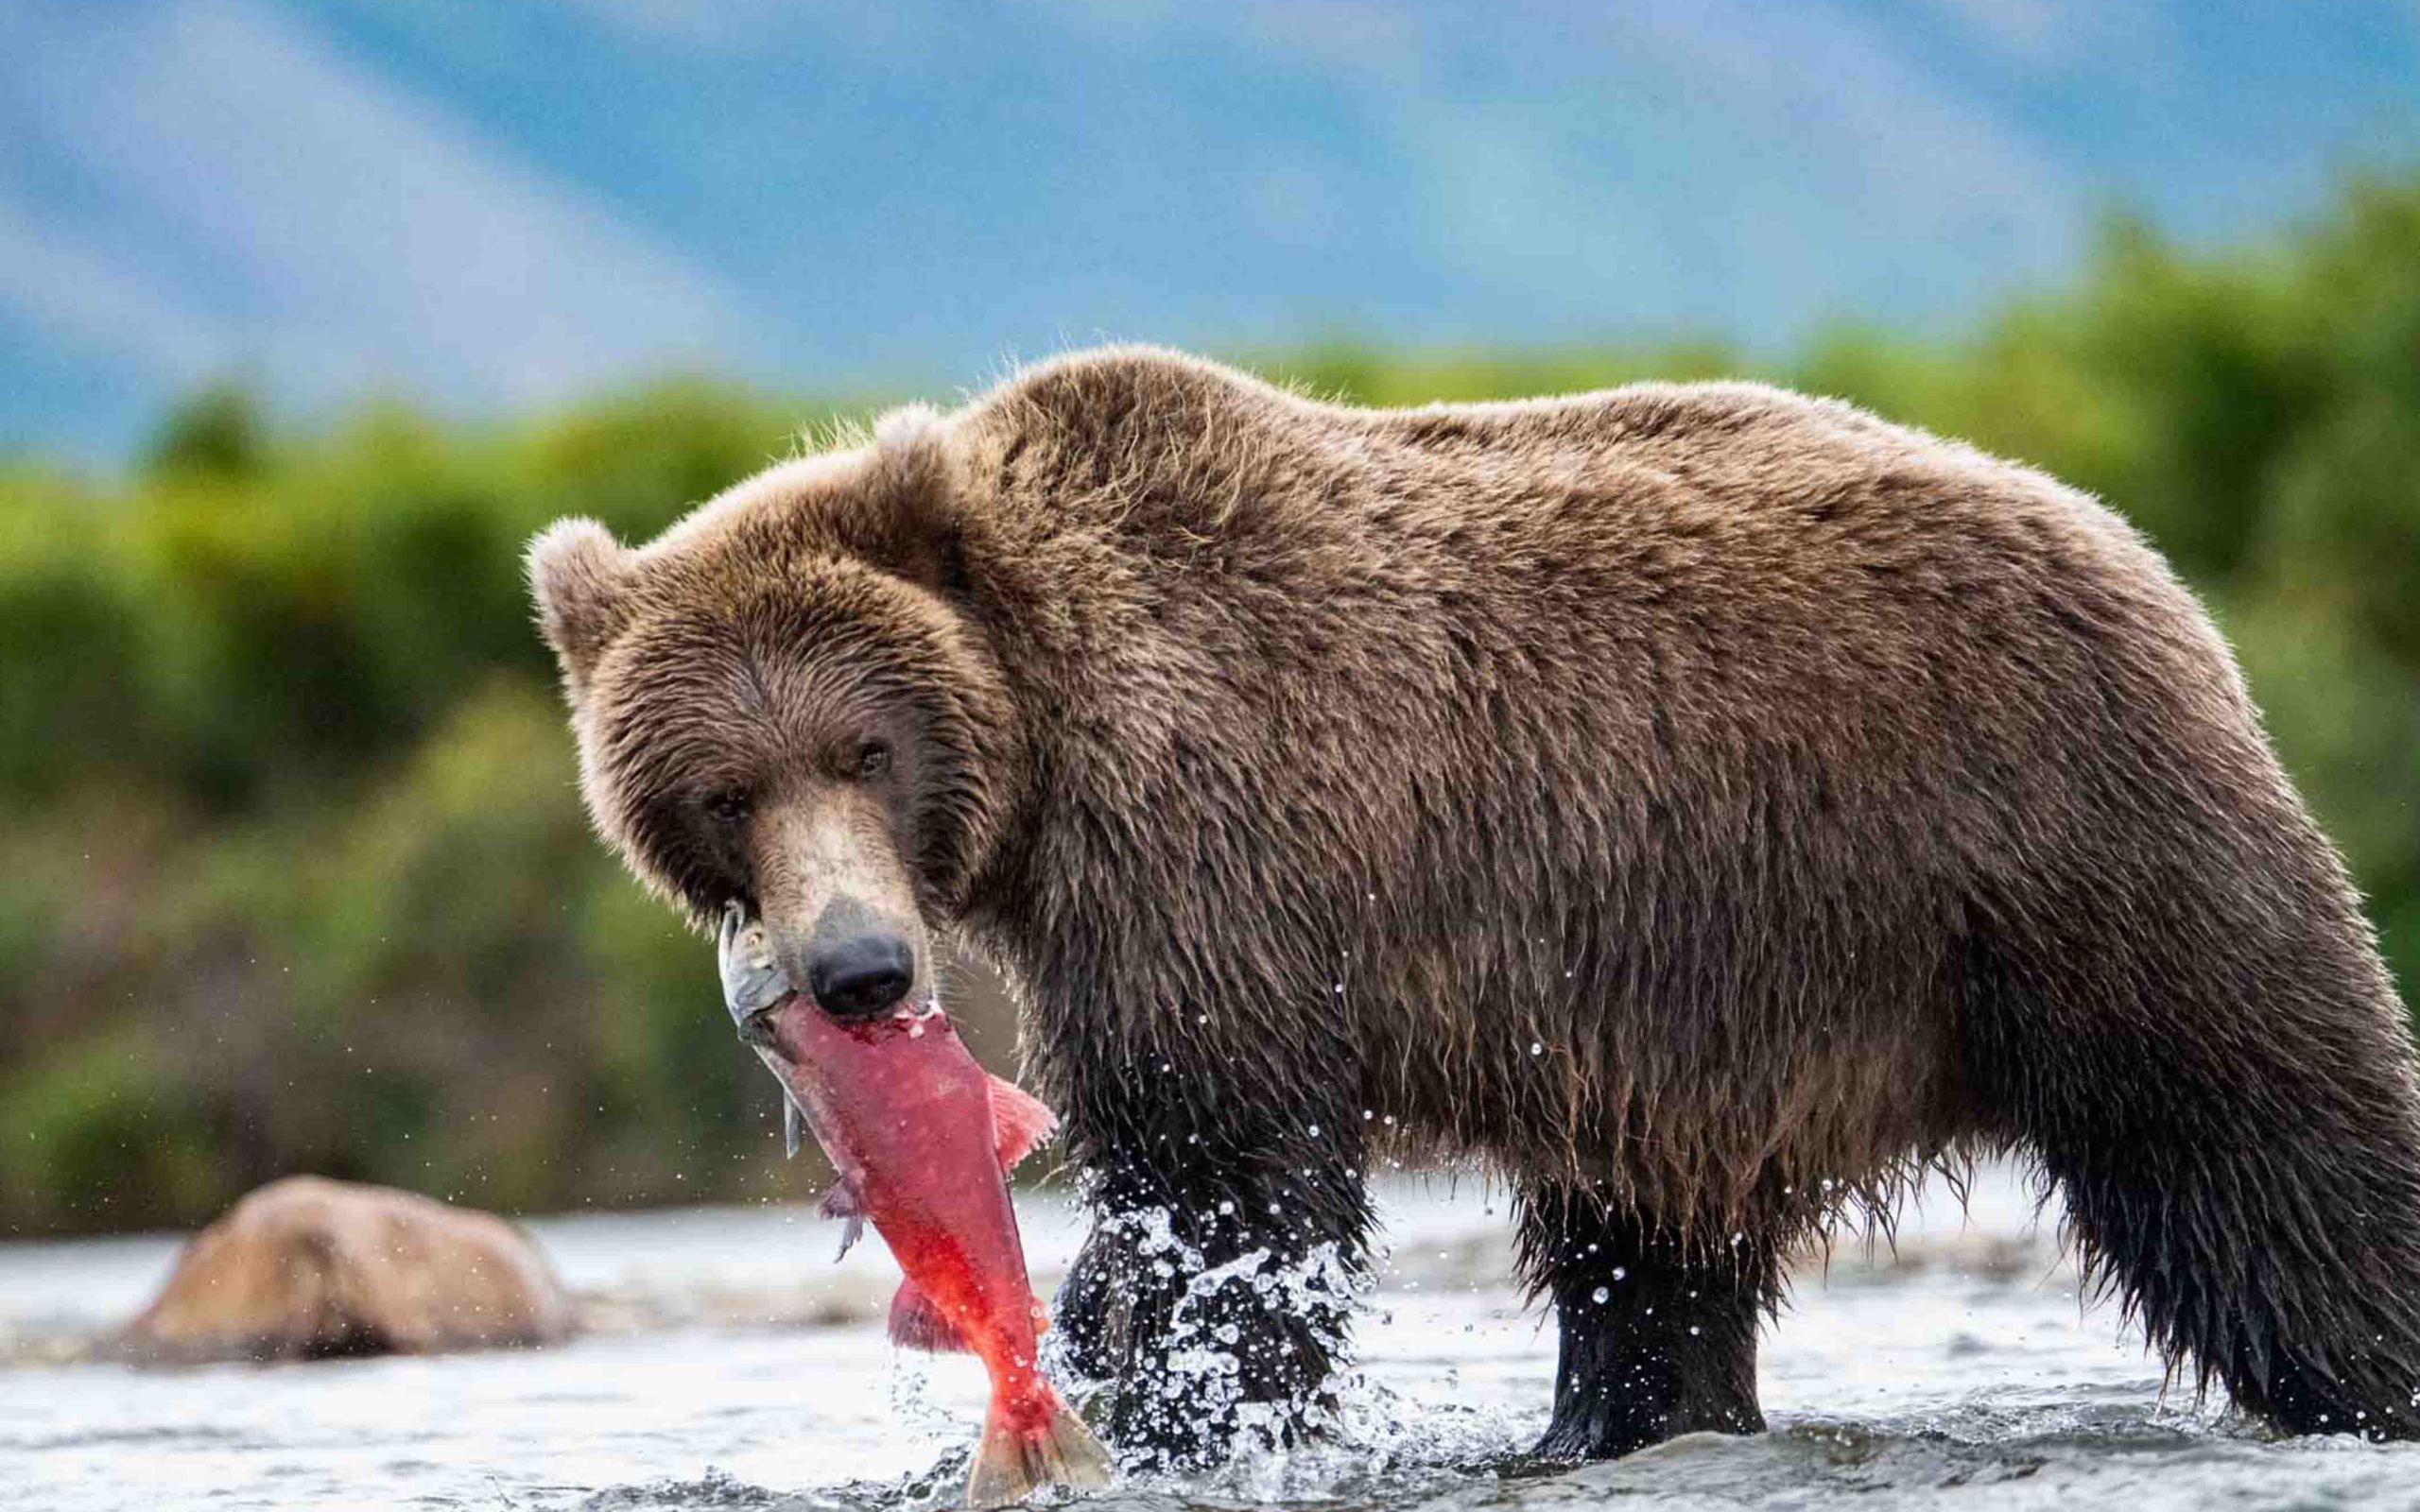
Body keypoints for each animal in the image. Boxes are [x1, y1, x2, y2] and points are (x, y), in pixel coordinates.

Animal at [528, 345, 2420, 1463]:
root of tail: (2139, 550)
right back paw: (1614, 1426)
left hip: (2056, 850)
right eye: (721, 789)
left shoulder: (1216, 849)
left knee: (2266, 1148)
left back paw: (2363, 1368)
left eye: (864, 744)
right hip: (1702, 1002)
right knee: (1647, 1249)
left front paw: (1173, 1399)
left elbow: (1219, 1170)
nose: (854, 967)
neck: (1052, 750)